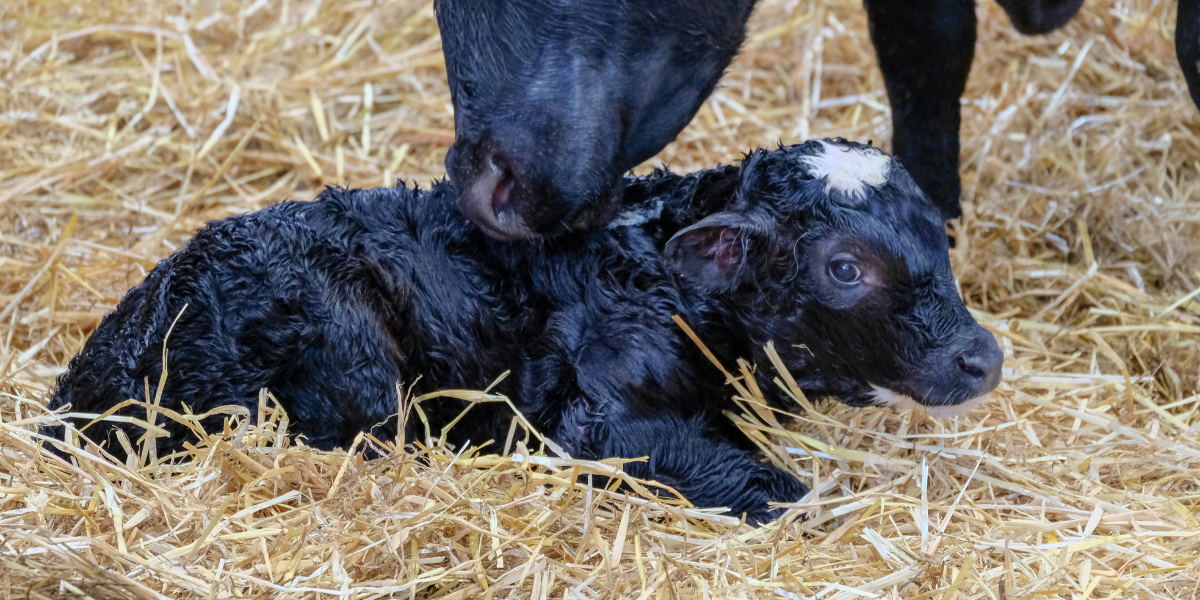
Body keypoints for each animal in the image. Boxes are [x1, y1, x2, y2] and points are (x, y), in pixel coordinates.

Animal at [42, 138, 1003, 523]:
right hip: (355, 364)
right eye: (844, 267)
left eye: (936, 233)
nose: (983, 358)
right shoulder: (599, 420)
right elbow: (779, 489)